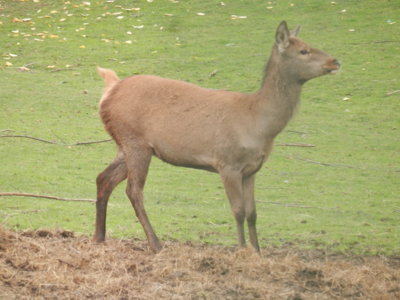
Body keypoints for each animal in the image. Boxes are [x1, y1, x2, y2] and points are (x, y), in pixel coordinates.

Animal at [93, 19, 340, 252]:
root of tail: (110, 90)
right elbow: (238, 210)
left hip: (126, 144)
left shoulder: (252, 169)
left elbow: (253, 212)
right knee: (133, 190)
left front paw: (257, 252)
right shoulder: (227, 163)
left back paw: (99, 237)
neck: (259, 125)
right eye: (304, 51)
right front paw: (241, 250)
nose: (335, 61)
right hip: (135, 141)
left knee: (104, 178)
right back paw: (155, 244)